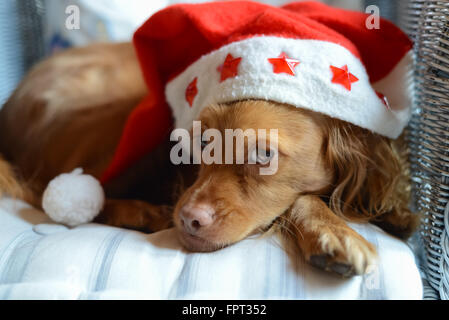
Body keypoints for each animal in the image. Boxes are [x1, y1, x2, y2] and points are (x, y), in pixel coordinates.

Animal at [0, 42, 420, 278]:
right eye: (202, 142)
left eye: (264, 154)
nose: (188, 220)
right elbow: (302, 198)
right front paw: (333, 231)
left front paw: (392, 212)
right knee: (62, 194)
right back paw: (142, 213)